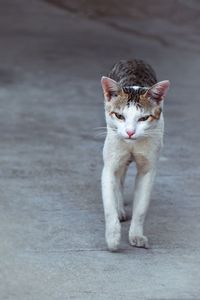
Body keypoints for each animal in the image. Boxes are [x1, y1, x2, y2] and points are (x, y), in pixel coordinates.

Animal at [101, 59, 170, 252]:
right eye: (119, 116)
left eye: (143, 118)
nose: (130, 132)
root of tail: (133, 60)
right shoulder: (110, 165)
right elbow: (109, 205)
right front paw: (113, 237)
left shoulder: (148, 170)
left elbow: (140, 209)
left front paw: (136, 235)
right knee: (119, 178)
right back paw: (119, 209)